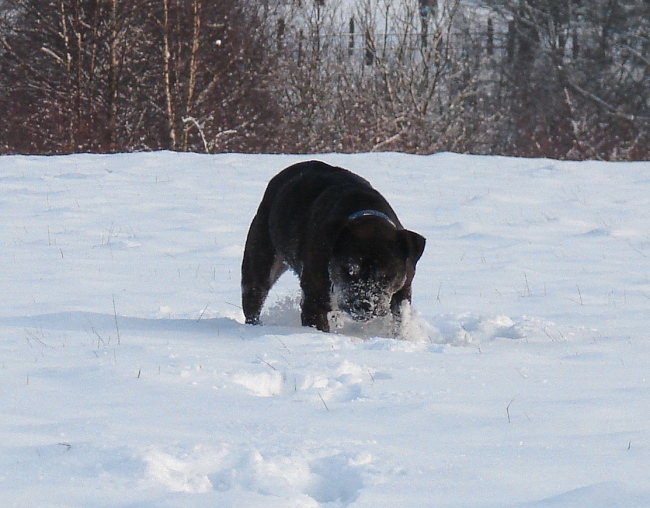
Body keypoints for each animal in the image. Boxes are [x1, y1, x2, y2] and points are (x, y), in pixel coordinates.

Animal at [240, 161, 422, 332]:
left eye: (386, 276)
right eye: (348, 269)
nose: (364, 304)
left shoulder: (404, 289)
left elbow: (400, 317)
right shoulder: (314, 299)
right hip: (260, 263)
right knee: (254, 298)